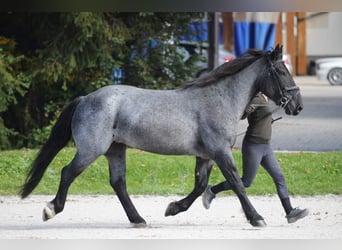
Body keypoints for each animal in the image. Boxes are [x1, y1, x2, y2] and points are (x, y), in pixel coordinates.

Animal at [19, 44, 302, 227]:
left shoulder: (206, 156)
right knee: (68, 172)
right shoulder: (221, 153)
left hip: (115, 150)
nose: (297, 106)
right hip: (91, 150)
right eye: (282, 71)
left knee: (118, 183)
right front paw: (256, 218)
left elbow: (201, 186)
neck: (218, 99)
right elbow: (237, 184)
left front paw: (173, 208)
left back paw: (138, 219)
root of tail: (86, 98)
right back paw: (51, 209)